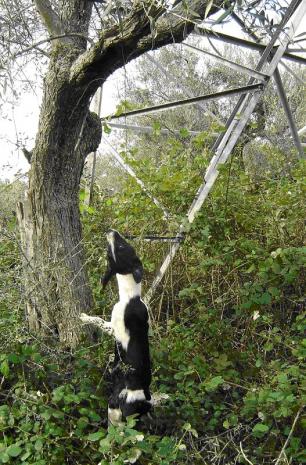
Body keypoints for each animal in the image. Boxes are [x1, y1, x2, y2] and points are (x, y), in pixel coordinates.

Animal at [80, 229, 152, 424]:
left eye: (121, 246)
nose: (111, 231)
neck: (129, 297)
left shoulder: (115, 330)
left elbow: (98, 320)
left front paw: (84, 317)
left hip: (125, 409)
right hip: (113, 405)